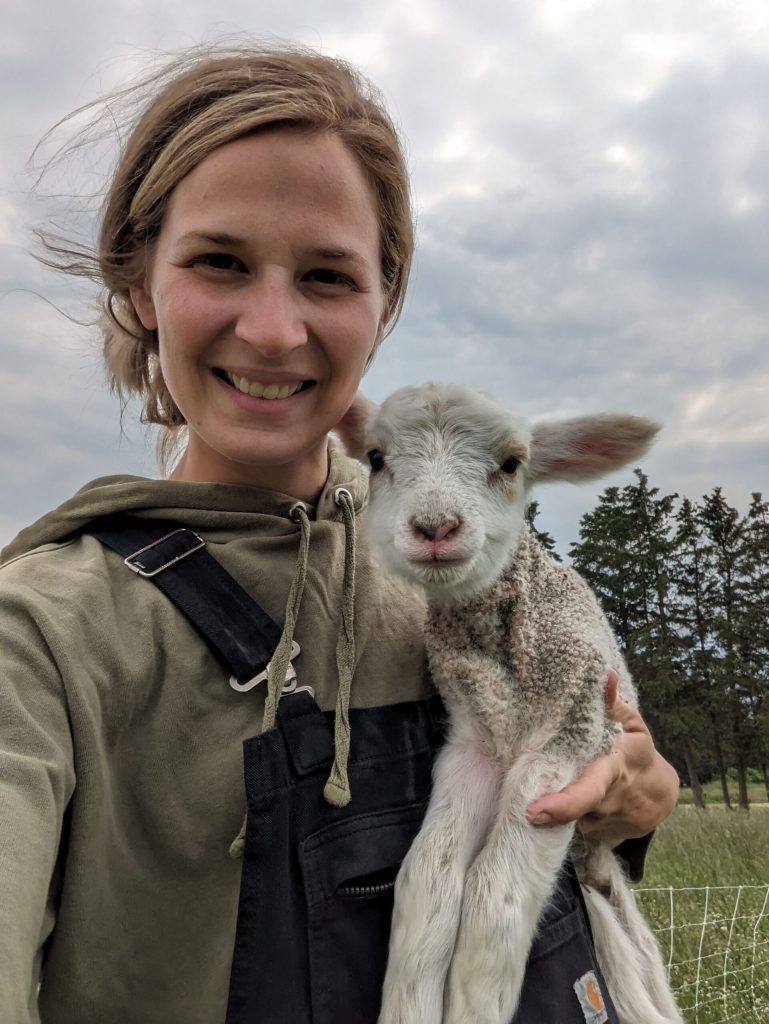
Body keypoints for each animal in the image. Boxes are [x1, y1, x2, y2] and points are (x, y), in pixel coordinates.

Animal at [339, 385, 684, 1024]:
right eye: (375, 458)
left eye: (511, 463)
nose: (435, 527)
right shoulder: (472, 744)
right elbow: (428, 876)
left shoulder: (570, 735)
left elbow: (493, 892)